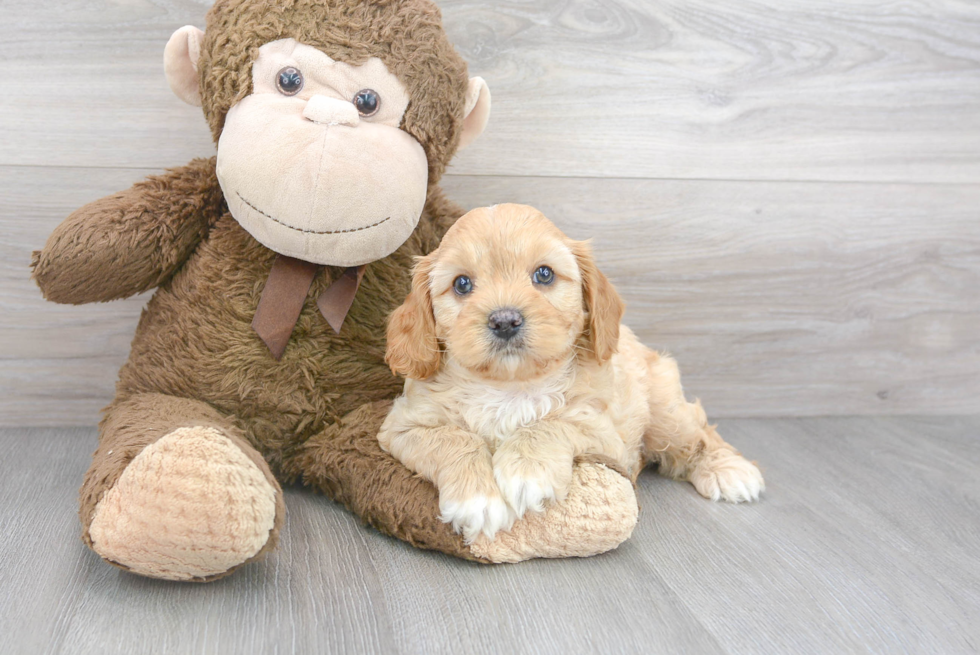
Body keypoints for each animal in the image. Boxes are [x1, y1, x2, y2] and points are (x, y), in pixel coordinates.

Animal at [378, 204, 764, 544]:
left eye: (544, 274)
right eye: (461, 284)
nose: (505, 320)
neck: (510, 386)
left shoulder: (603, 432)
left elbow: (550, 423)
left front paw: (527, 472)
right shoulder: (401, 427)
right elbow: (454, 438)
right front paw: (478, 500)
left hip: (665, 414)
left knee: (699, 432)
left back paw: (730, 470)